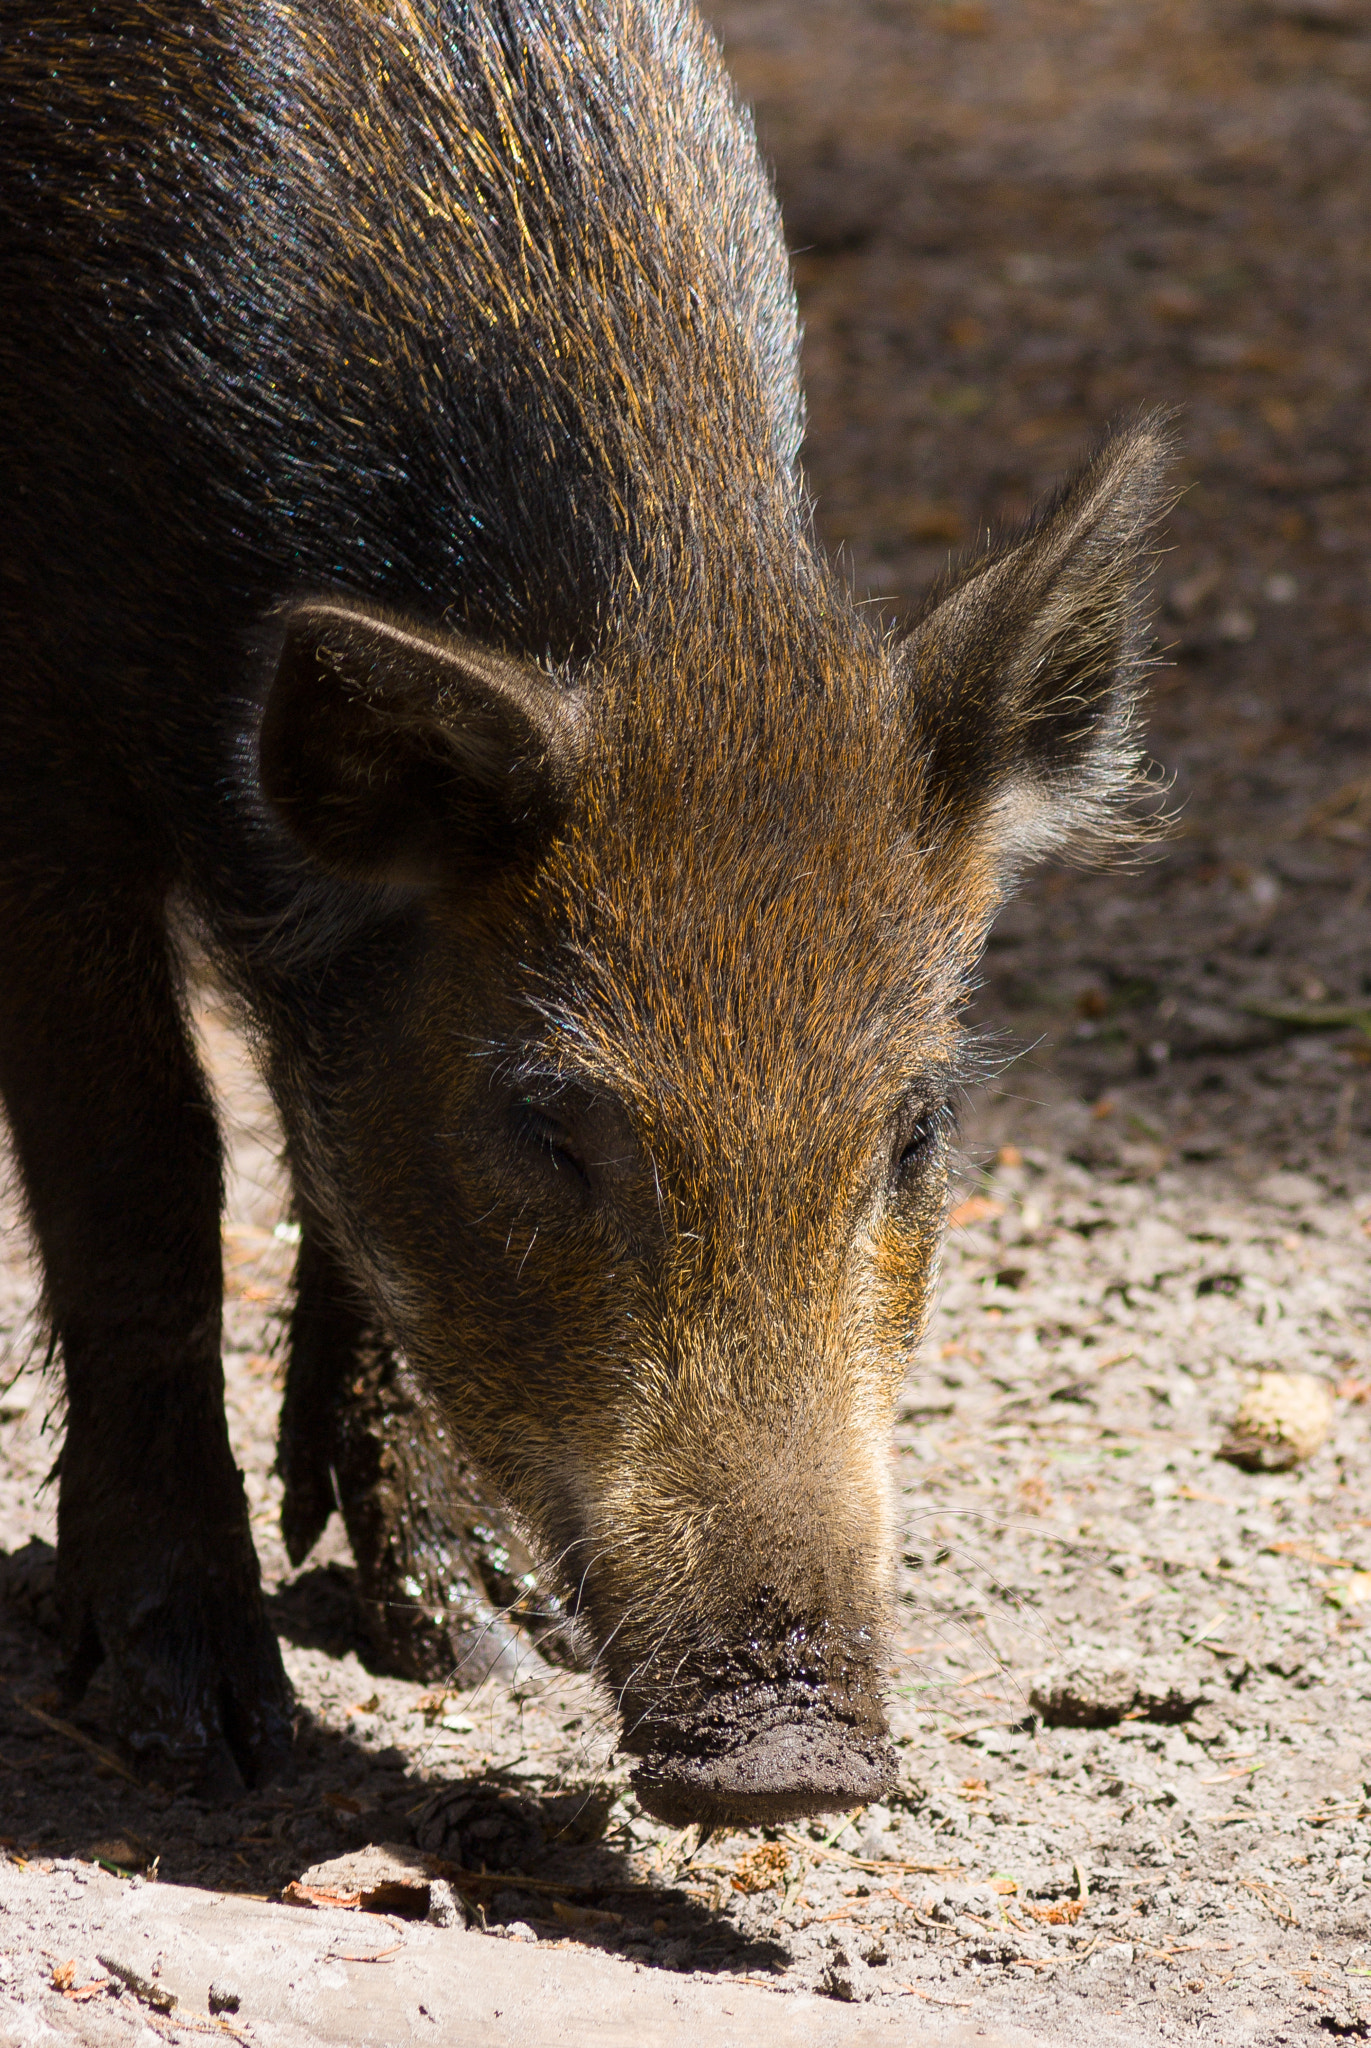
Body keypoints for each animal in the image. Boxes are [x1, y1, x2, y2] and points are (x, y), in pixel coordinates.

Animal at [0, 0, 1171, 1817]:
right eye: (548, 1119)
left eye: (915, 1124)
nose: (793, 1760)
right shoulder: (42, 737)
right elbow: (144, 1176)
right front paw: (202, 1733)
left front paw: (479, 1647)